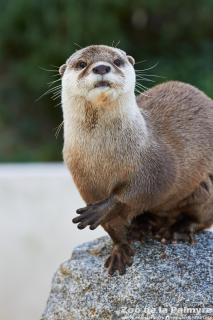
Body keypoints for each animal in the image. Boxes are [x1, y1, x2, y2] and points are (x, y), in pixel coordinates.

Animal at [59, 44, 213, 276]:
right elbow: (112, 228)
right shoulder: (85, 183)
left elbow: (141, 191)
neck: (104, 156)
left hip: (206, 186)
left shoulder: (156, 165)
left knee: (202, 217)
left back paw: (176, 230)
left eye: (117, 61)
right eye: (81, 64)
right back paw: (140, 226)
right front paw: (119, 250)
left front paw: (103, 209)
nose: (101, 67)